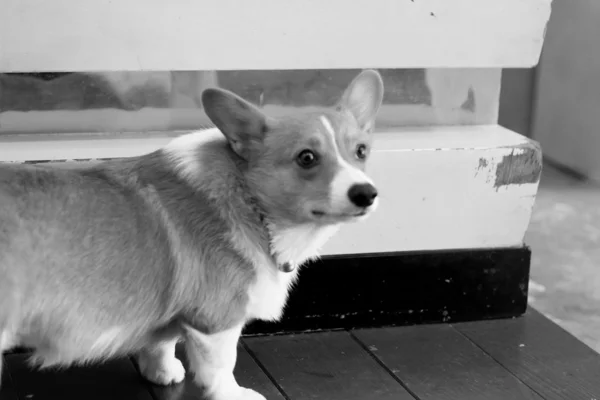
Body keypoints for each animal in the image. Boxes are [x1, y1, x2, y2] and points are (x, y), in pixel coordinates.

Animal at [0, 69, 384, 400]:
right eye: (306, 157)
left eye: (361, 151)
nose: (366, 193)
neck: (249, 198)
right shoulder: (216, 321)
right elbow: (221, 367)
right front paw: (234, 395)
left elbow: (160, 342)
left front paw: (162, 371)